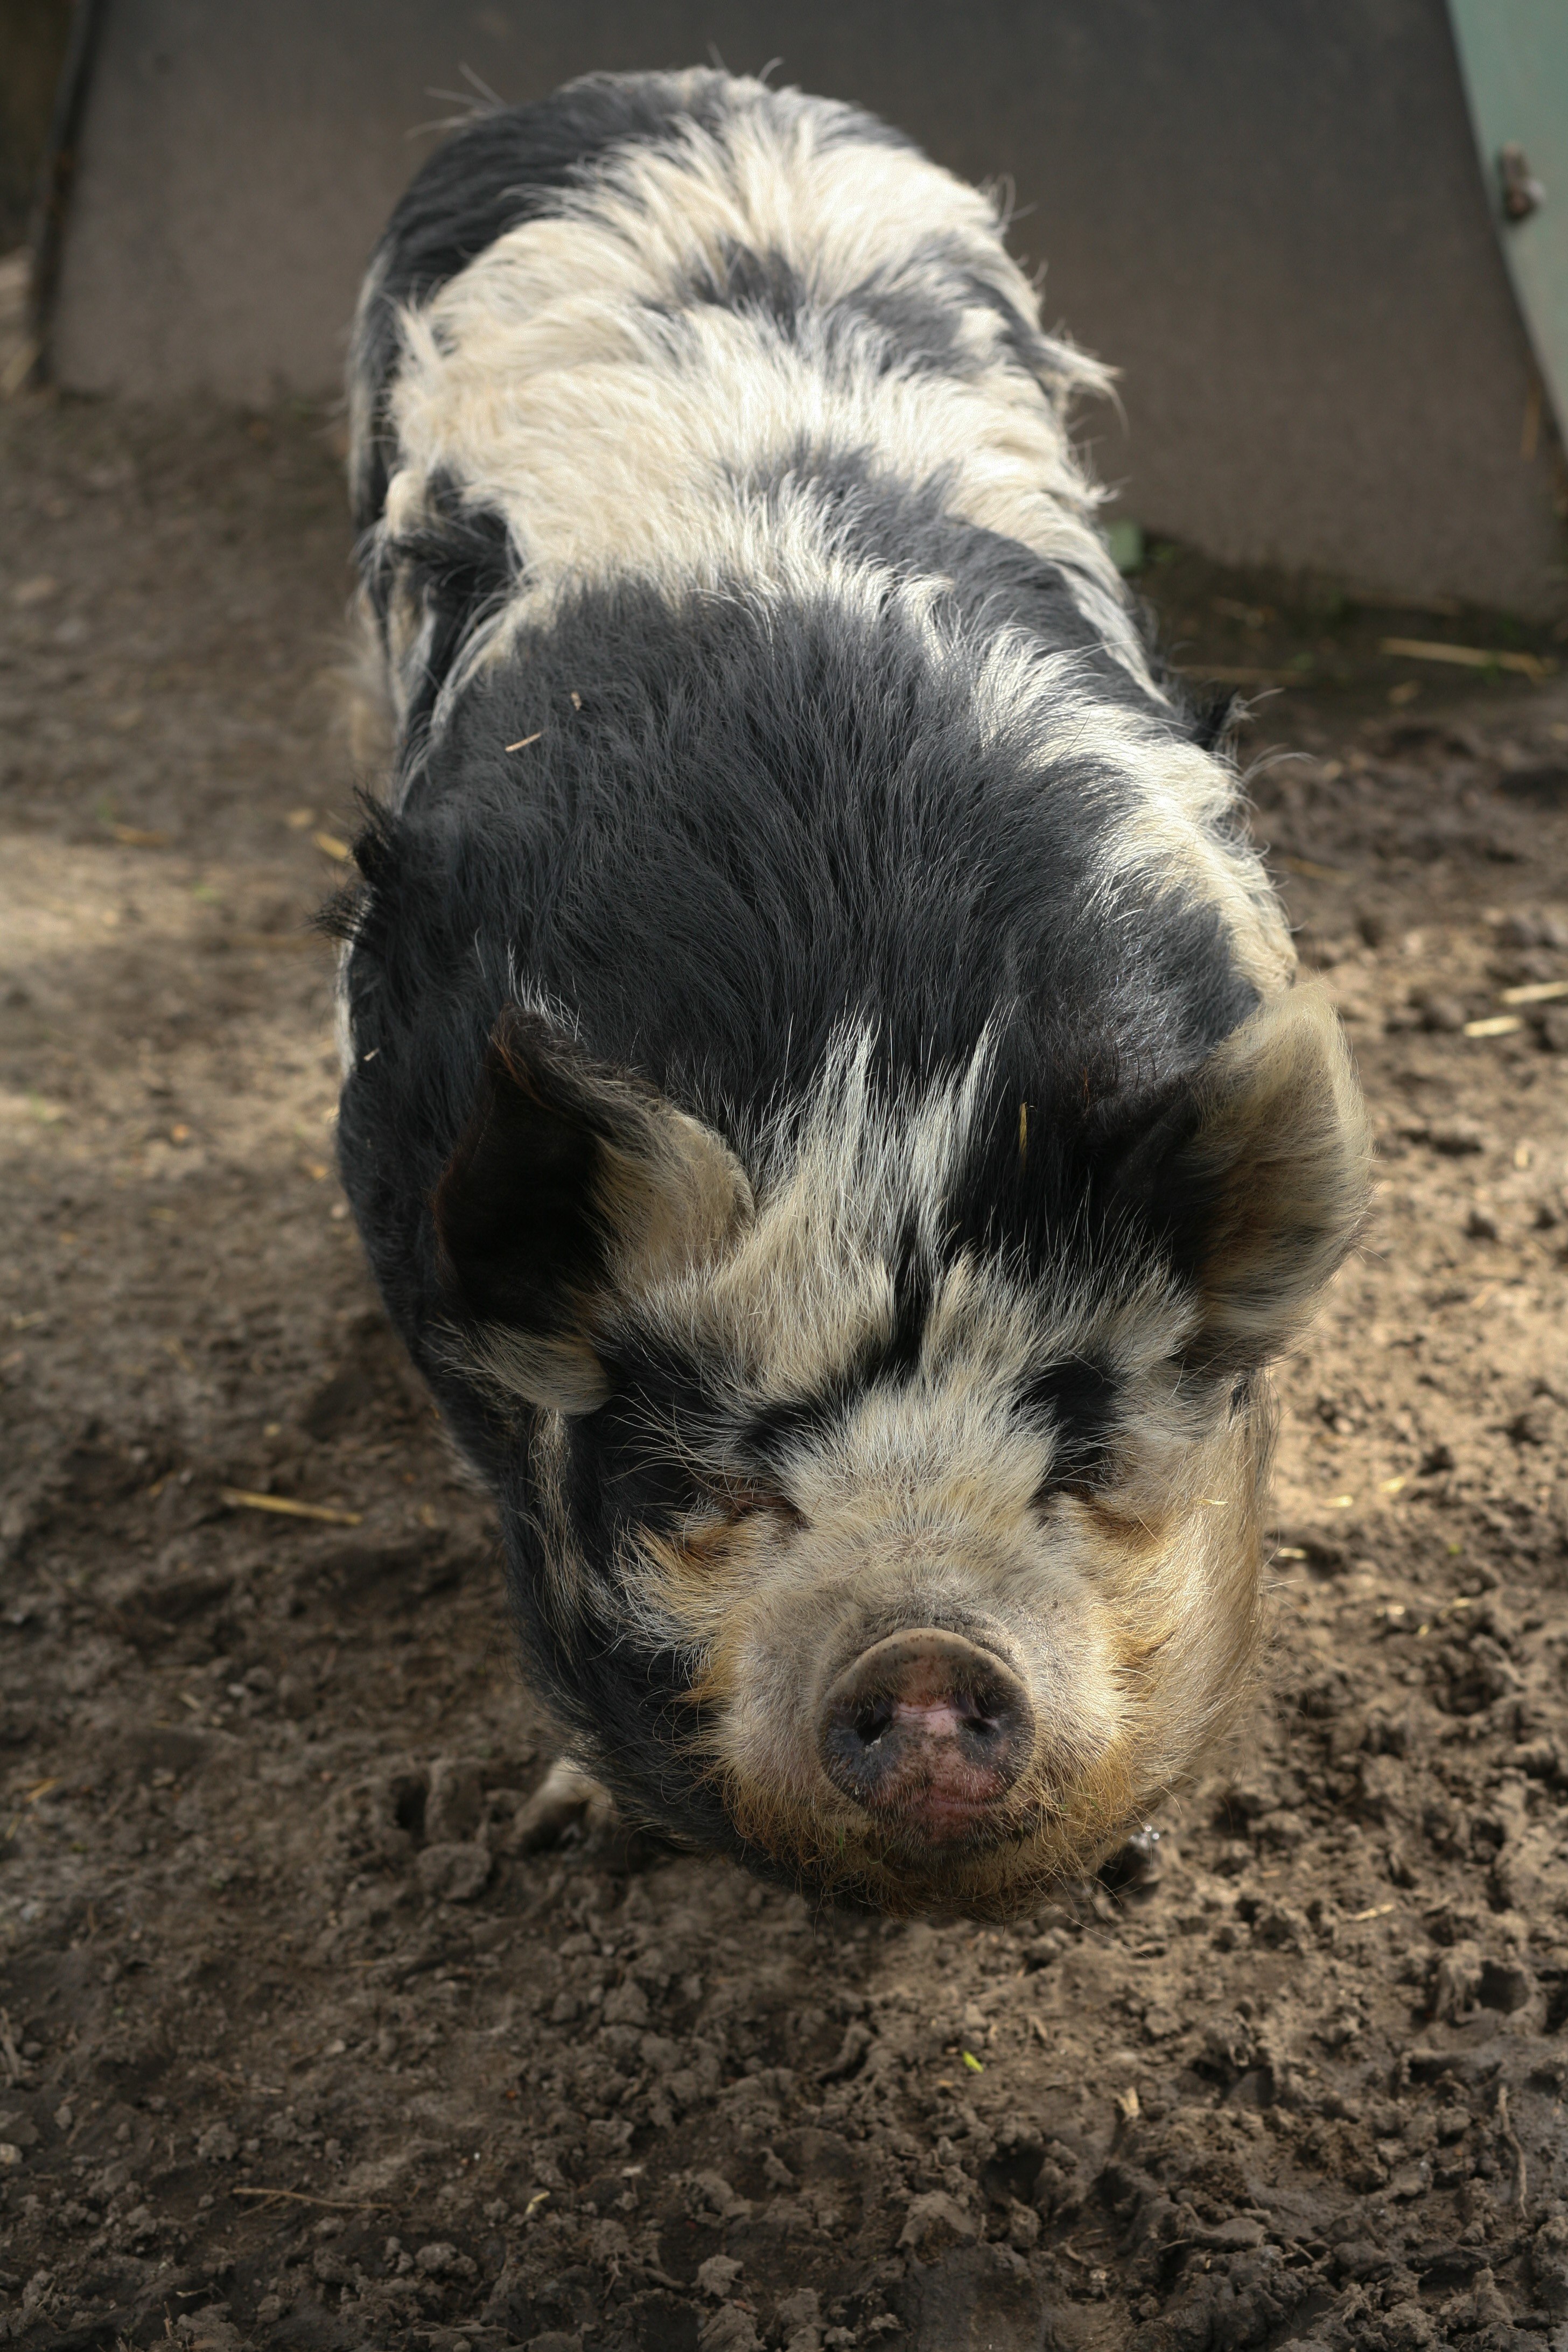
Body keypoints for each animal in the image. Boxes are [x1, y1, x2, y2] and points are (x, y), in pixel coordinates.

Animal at [332, 67, 1370, 1919]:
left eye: (1079, 1460)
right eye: (717, 1480)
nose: (928, 1656)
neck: (879, 1091)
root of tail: (668, 85)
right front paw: (561, 1818)